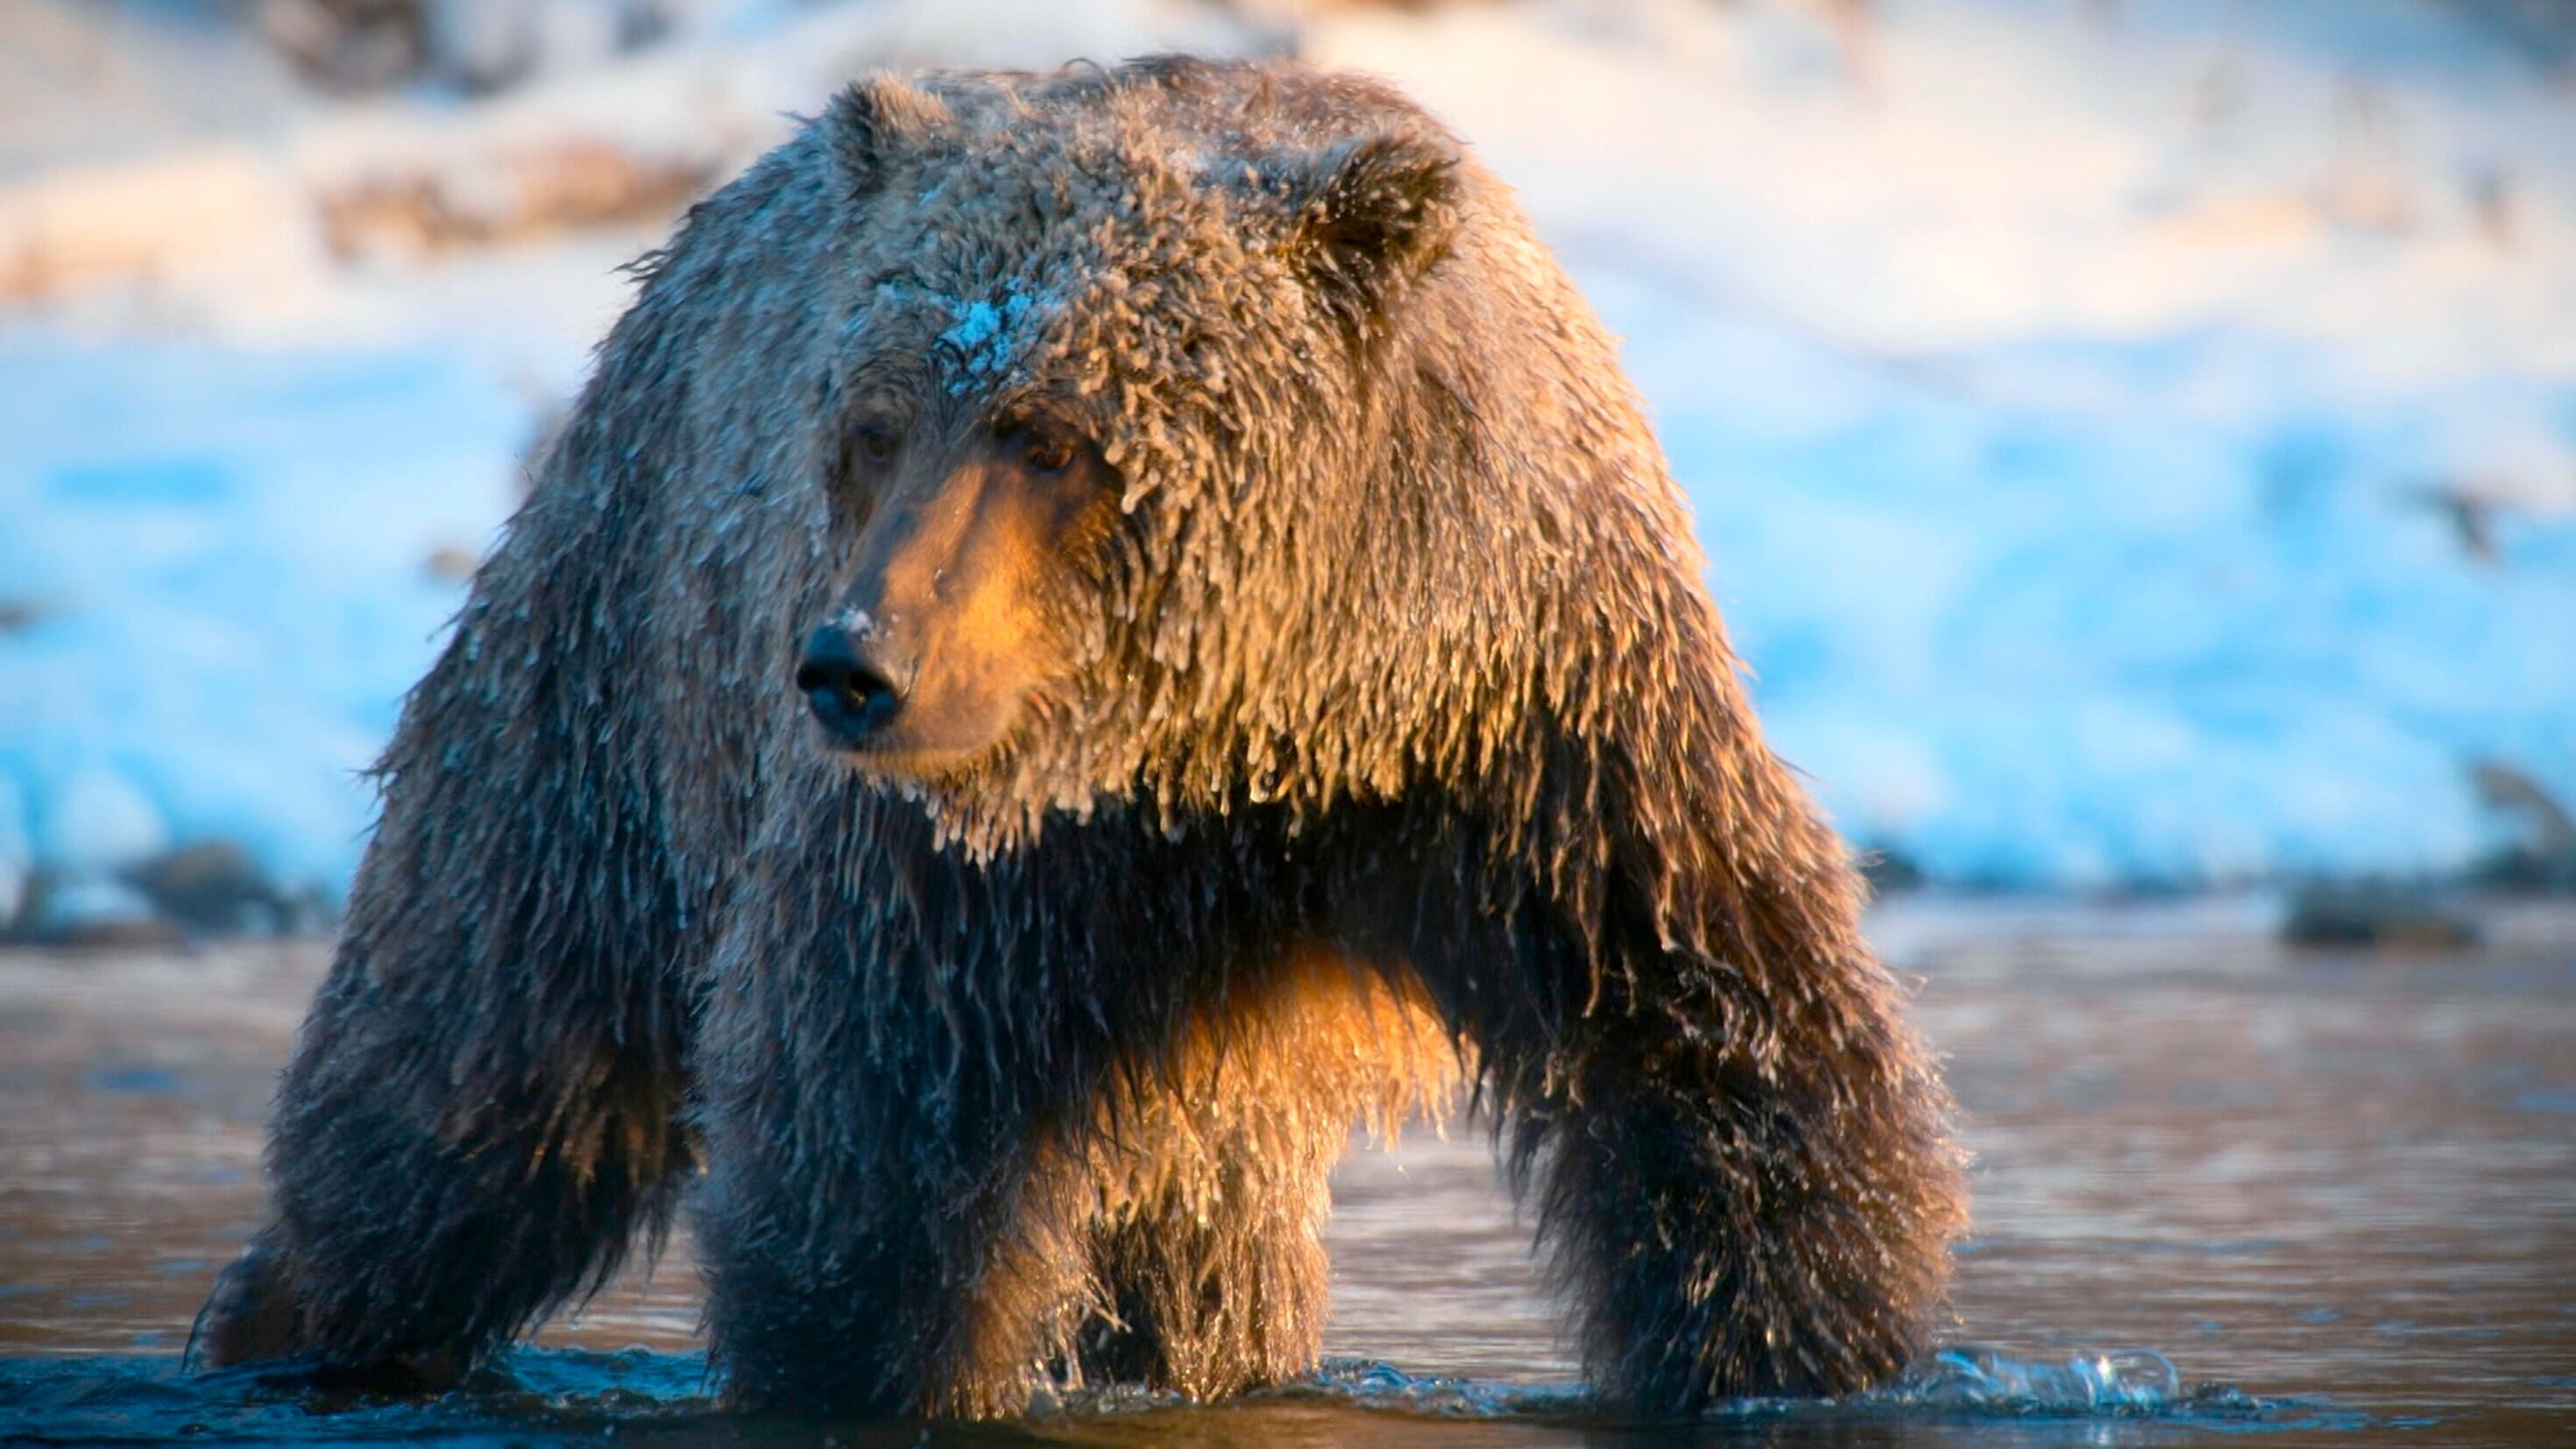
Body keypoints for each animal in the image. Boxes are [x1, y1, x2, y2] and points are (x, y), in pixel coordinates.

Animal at [195, 53, 1968, 1420]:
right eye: (876, 421)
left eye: (1049, 431)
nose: (850, 664)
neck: (1264, 717)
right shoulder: (985, 856)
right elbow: (871, 1154)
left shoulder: (1539, 732)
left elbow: (1719, 1051)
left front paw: (1799, 1347)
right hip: (622, 662)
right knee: (484, 1041)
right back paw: (294, 1314)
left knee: (1197, 1238)